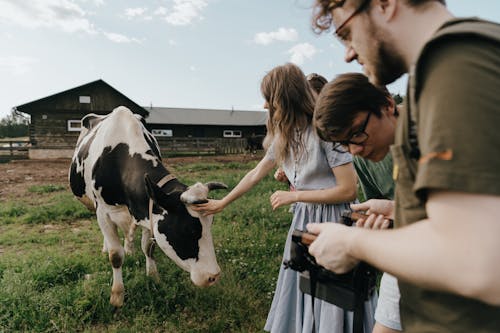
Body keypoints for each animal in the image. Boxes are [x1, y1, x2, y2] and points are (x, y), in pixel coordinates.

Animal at [69, 106, 226, 306]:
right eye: (188, 230)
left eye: (210, 225)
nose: (213, 276)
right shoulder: (103, 211)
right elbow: (115, 255)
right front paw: (117, 295)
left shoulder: (148, 210)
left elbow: (148, 247)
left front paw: (153, 277)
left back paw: (129, 248)